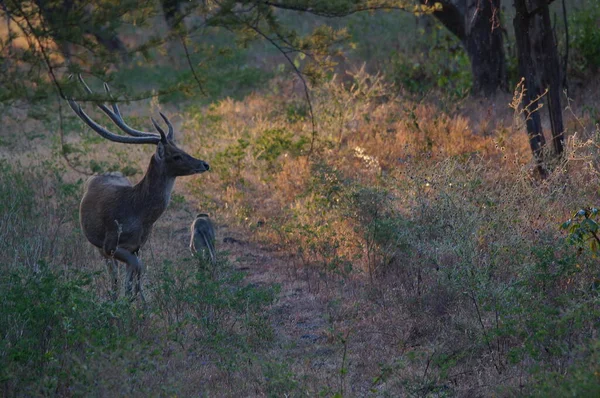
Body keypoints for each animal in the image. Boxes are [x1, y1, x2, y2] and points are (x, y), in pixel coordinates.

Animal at [66, 74, 209, 300]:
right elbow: (136, 269)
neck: (139, 216)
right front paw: (131, 299)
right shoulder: (111, 243)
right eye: (176, 155)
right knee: (113, 274)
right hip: (99, 246)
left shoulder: (138, 245)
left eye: (181, 149)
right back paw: (114, 296)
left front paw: (139, 299)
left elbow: (137, 273)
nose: (204, 164)